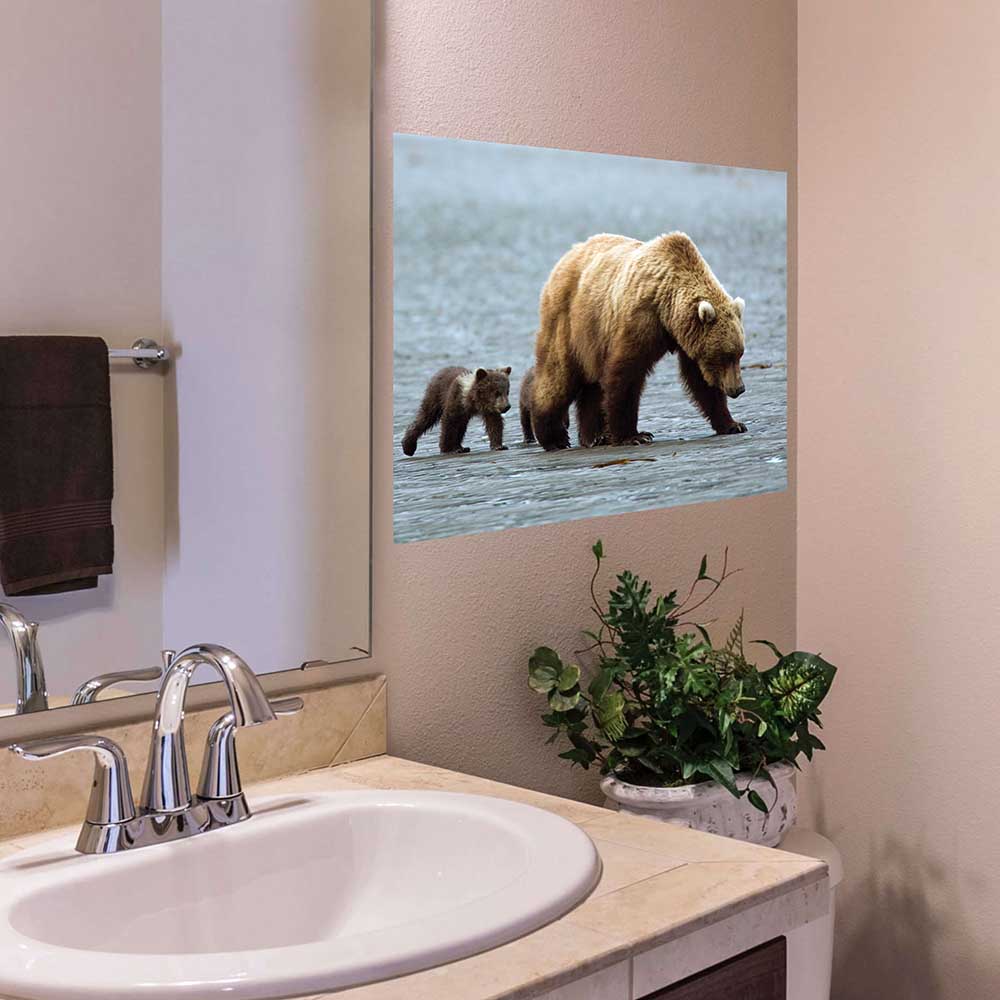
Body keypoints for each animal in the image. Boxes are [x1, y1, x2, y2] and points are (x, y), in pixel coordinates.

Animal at [530, 232, 748, 451]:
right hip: (570, 323)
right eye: (725, 355)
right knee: (558, 376)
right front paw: (634, 436)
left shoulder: (686, 338)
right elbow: (626, 374)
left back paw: (595, 437)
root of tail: (566, 257)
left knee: (591, 386)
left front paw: (733, 424)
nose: (738, 388)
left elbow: (700, 380)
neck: (667, 309)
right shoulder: (641, 320)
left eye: (739, 354)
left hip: (593, 340)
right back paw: (554, 437)